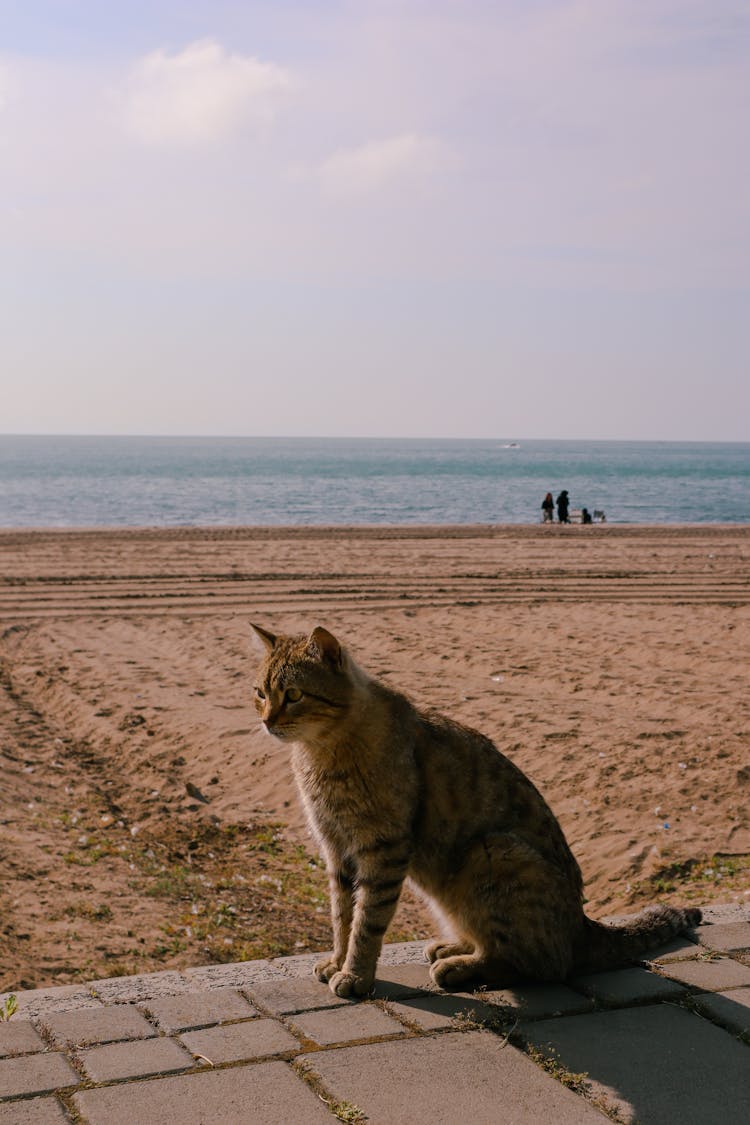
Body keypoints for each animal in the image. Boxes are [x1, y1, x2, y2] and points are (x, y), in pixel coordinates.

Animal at [251, 625, 706, 1003]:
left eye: (294, 695)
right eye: (260, 692)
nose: (267, 721)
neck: (321, 753)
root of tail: (582, 925)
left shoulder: (382, 849)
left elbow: (367, 922)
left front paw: (356, 975)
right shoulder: (336, 850)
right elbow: (342, 916)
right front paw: (336, 961)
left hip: (491, 852)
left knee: (542, 964)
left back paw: (458, 967)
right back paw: (453, 946)